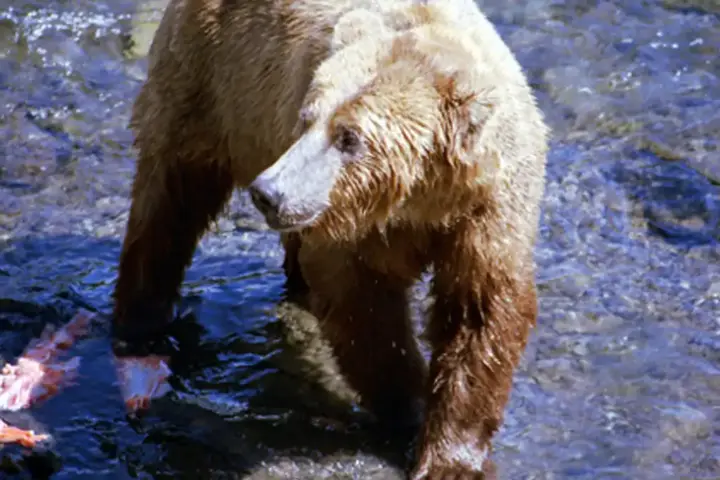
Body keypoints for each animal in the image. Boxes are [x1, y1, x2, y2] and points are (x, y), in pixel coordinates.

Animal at [111, 0, 549, 478]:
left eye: (349, 137)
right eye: (308, 119)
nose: (269, 192)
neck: (423, 198)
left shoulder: (488, 211)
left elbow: (479, 313)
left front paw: (451, 457)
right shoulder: (353, 227)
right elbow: (361, 303)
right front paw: (408, 405)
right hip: (211, 83)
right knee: (170, 201)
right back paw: (140, 323)